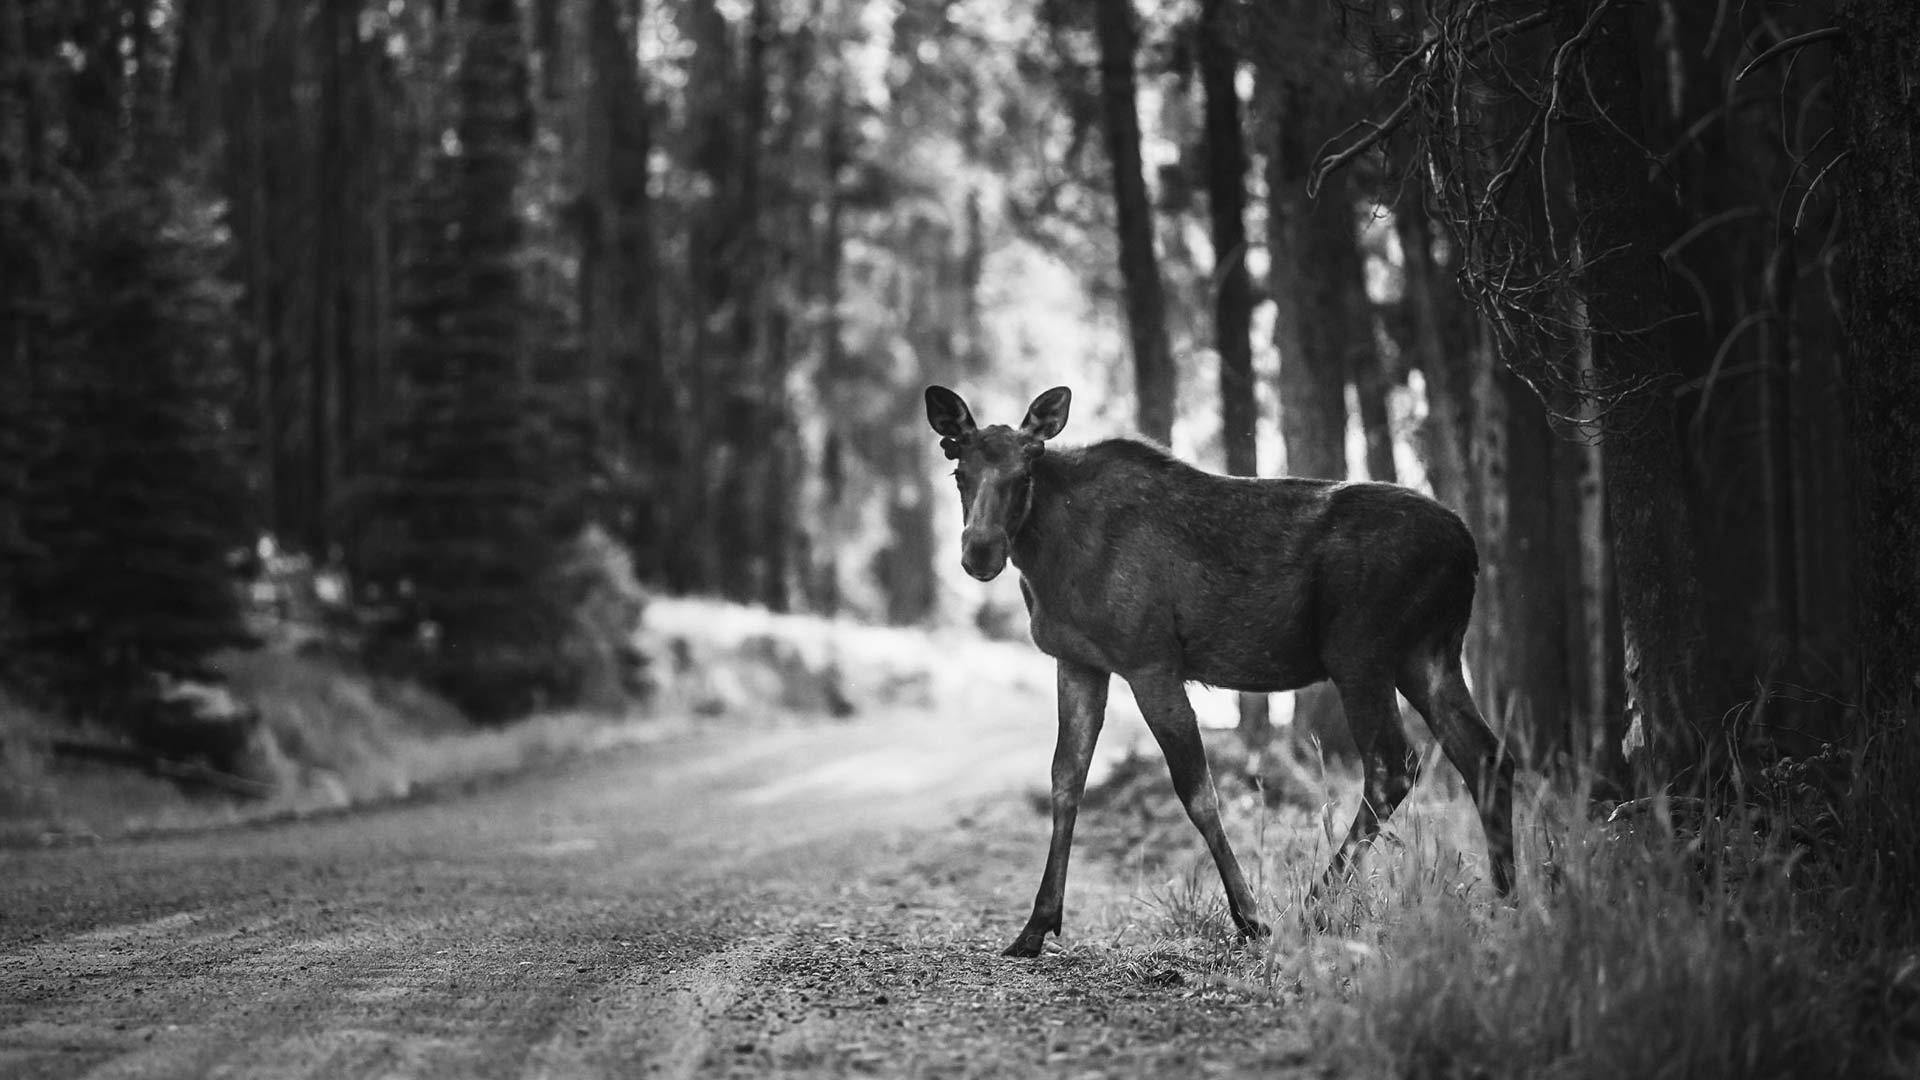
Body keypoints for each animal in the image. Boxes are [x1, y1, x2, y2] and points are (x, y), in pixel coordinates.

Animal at [929, 382, 1512, 953]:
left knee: (1394, 765)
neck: (1048, 562)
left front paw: (1250, 917)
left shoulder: (1151, 659)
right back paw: (1508, 900)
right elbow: (1065, 778)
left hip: (1360, 651)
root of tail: (1468, 551)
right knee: (1485, 754)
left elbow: (1198, 791)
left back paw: (1311, 908)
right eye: (959, 471)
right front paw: (1035, 925)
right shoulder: (1078, 660)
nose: (980, 551)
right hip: (1429, 655)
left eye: (1025, 472)